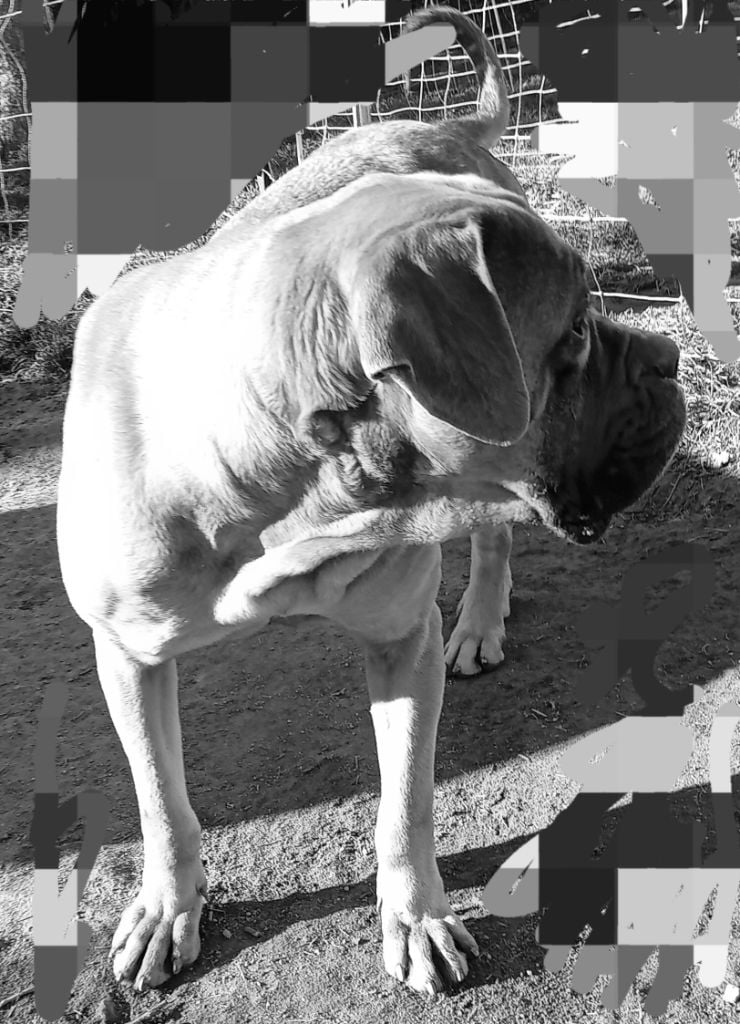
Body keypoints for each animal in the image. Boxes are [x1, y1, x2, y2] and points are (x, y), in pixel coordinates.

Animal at [56, 7, 686, 997]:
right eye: (578, 332)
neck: (281, 494)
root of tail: (449, 123)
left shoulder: (402, 643)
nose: (670, 360)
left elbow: (405, 805)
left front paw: (417, 915)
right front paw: (166, 905)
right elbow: (159, 800)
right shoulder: (126, 656)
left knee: (492, 545)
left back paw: (481, 618)